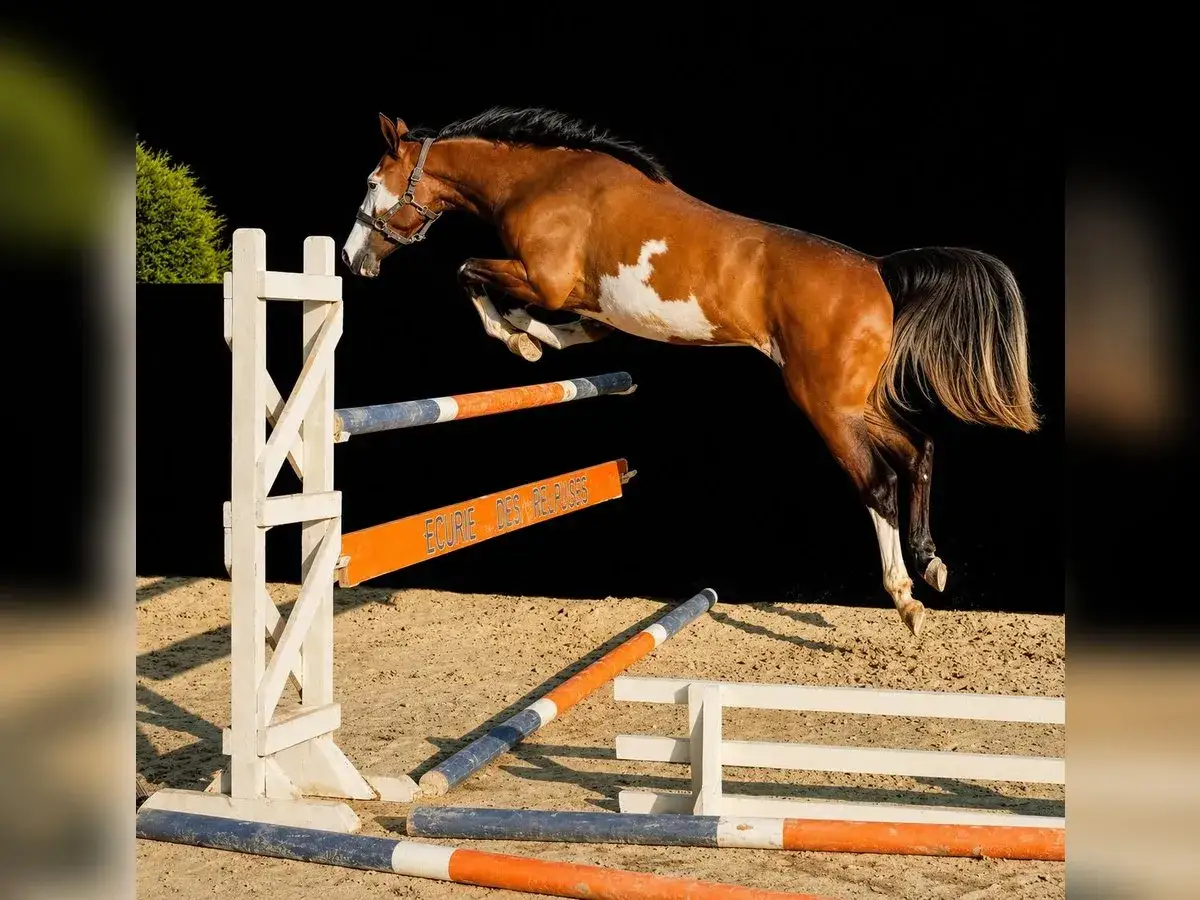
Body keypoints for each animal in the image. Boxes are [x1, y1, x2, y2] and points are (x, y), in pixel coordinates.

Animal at [340, 107, 1040, 638]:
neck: (540, 181)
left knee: (878, 481)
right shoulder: (584, 300)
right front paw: (538, 341)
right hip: (853, 402)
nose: (351, 259)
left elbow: (471, 277)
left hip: (824, 405)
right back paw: (932, 564)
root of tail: (878, 269)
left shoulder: (545, 280)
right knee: (919, 450)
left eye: (372, 182)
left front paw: (523, 342)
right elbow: (575, 327)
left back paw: (905, 597)